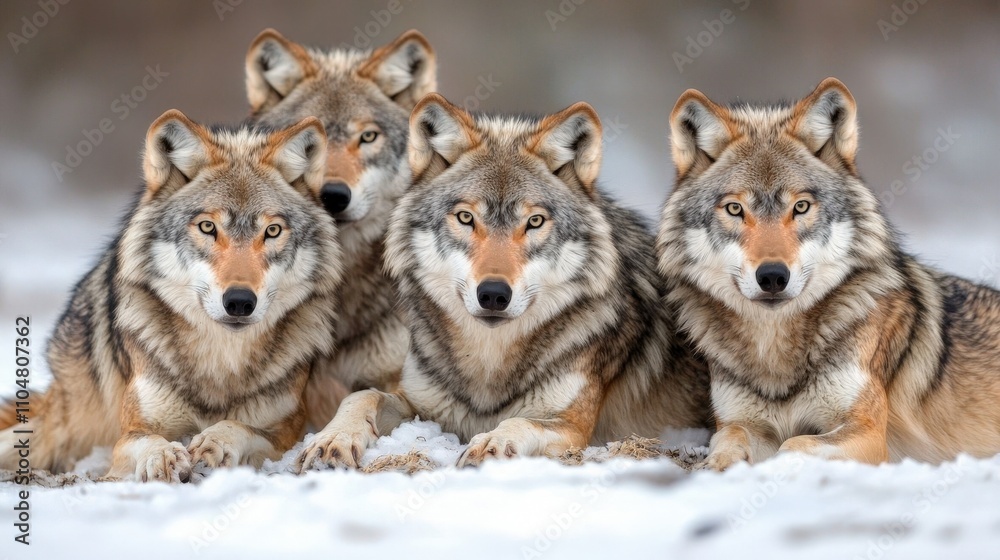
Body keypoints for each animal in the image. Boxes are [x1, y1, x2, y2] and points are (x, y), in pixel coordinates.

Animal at [0, 110, 341, 481]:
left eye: (273, 231)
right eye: (207, 227)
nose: (239, 301)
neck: (220, 361)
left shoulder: (286, 433)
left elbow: (239, 427)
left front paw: (218, 441)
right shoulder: (129, 434)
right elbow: (147, 441)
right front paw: (161, 456)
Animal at [297, 94, 711, 470]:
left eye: (534, 222)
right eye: (466, 218)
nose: (494, 294)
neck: (488, 363)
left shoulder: (571, 426)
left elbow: (516, 422)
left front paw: (491, 444)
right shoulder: (420, 403)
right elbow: (361, 397)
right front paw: (331, 440)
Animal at [657, 77, 1000, 471]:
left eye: (801, 206)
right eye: (734, 209)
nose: (772, 276)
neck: (776, 353)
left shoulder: (868, 434)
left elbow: (793, 445)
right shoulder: (742, 422)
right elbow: (726, 440)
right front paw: (712, 468)